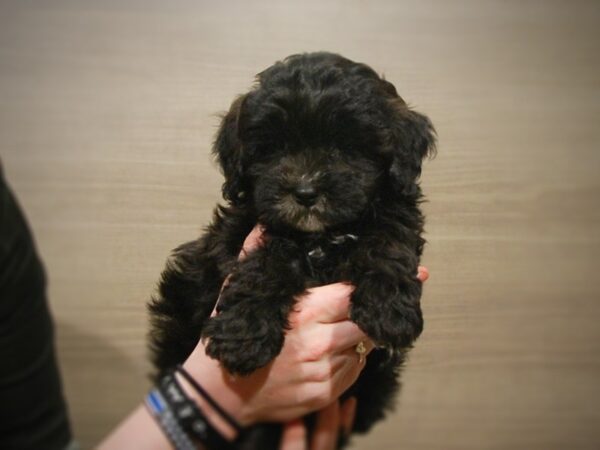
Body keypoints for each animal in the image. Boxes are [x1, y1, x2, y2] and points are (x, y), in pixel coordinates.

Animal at [149, 51, 436, 446]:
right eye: (274, 149)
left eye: (345, 147)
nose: (304, 193)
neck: (321, 236)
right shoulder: (236, 237)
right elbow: (267, 262)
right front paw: (243, 335)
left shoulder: (394, 210)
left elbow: (390, 243)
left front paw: (389, 311)